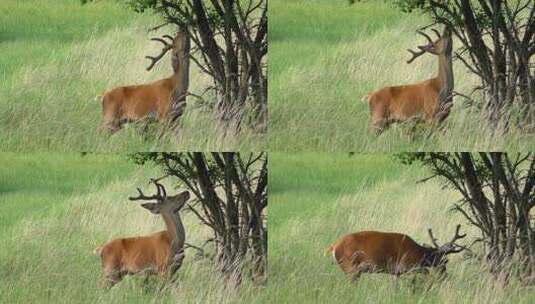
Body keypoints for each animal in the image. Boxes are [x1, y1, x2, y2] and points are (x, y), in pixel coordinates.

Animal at [324, 223, 466, 282]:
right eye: (444, 261)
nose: (445, 275)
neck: (418, 252)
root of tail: (333, 246)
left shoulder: (395, 272)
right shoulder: (406, 264)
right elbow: (425, 271)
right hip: (350, 267)